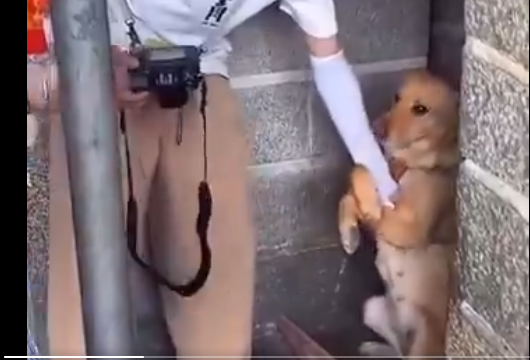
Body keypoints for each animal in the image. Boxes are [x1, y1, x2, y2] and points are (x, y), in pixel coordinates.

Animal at [338, 70, 458, 358]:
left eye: (420, 109)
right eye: (397, 97)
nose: (375, 128)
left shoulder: (409, 229)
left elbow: (362, 174)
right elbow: (350, 195)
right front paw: (349, 234)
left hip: (423, 341)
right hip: (371, 308)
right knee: (396, 351)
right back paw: (373, 348)